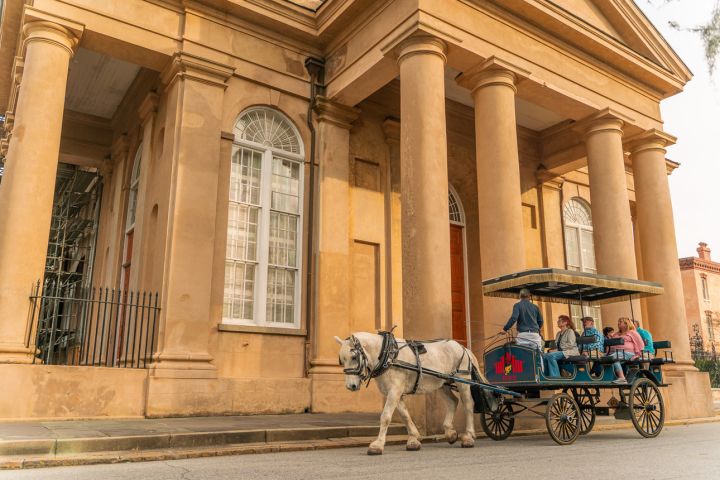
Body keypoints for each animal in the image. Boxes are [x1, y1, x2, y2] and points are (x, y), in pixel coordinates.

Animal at [336, 332, 496, 456]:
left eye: (354, 357)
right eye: (341, 360)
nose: (351, 386)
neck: (387, 355)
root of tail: (463, 347)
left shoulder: (394, 391)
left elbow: (386, 416)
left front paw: (377, 445)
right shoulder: (394, 393)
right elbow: (405, 415)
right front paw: (414, 439)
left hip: (463, 380)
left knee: (468, 404)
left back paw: (468, 437)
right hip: (442, 382)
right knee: (453, 402)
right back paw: (450, 433)